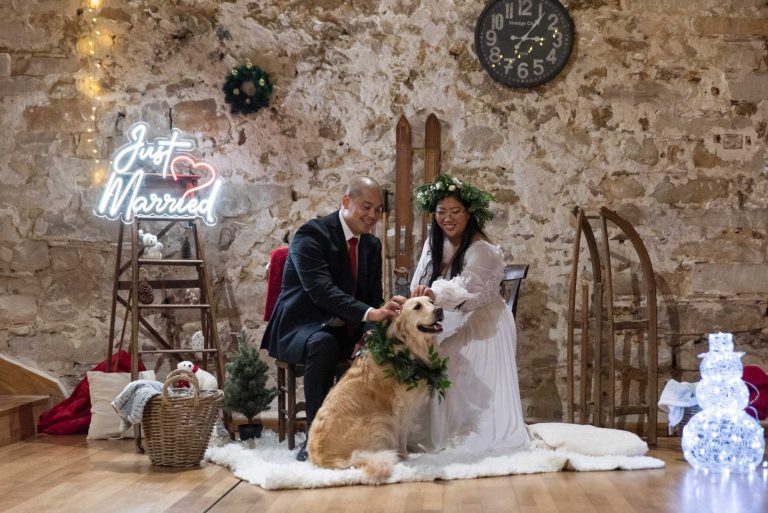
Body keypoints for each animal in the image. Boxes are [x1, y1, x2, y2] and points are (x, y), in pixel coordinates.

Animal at [308, 296, 444, 480]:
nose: (439, 310)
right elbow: (401, 436)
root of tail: (324, 460)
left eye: (431, 301)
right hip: (380, 420)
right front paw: (406, 457)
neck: (405, 352)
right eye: (417, 306)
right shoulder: (402, 409)